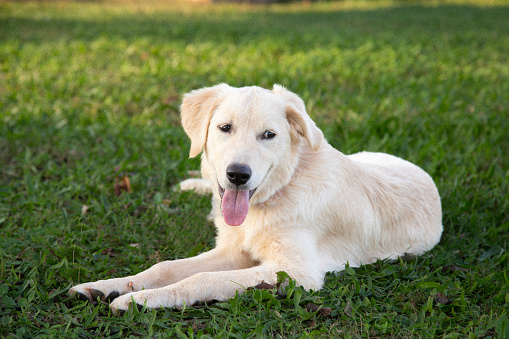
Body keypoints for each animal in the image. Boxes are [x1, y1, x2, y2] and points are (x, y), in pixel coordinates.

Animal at [69, 83, 442, 312]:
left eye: (268, 135)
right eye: (225, 128)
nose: (238, 175)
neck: (279, 192)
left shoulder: (297, 273)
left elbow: (201, 279)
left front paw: (140, 301)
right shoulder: (232, 251)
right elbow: (166, 267)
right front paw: (107, 285)